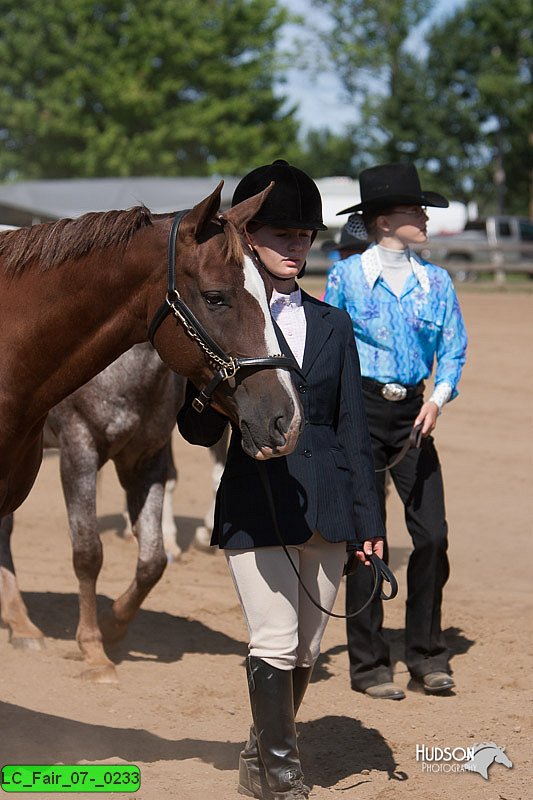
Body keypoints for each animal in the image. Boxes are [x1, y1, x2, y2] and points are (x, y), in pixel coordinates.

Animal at [0, 188, 300, 676]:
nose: (285, 417)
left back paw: (21, 624)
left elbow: (153, 559)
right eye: (216, 298)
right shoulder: (79, 451)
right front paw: (93, 649)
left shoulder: (145, 458)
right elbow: (88, 552)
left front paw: (114, 625)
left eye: (270, 291)